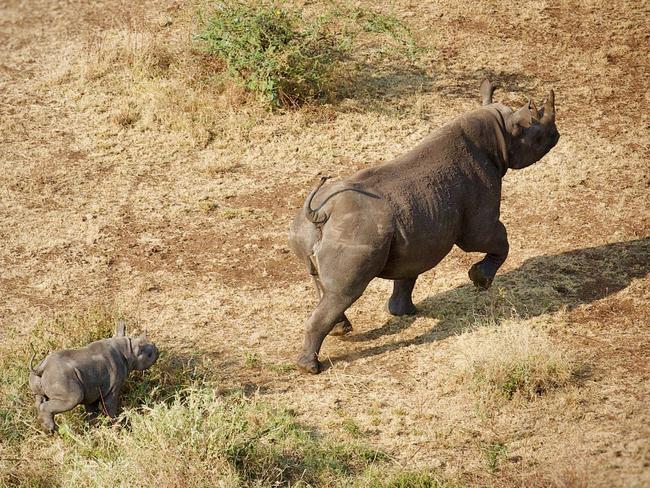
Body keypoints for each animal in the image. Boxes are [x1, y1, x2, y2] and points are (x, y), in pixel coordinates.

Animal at [28, 322, 158, 432]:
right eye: (149, 354)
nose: (158, 350)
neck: (127, 350)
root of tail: (42, 368)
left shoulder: (92, 388)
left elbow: (92, 411)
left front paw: (94, 427)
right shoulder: (112, 387)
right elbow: (110, 406)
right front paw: (115, 426)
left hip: (41, 377)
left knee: (39, 397)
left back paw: (45, 428)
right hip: (60, 377)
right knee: (74, 398)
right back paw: (52, 429)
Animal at [288, 79, 556, 374]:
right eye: (539, 133)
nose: (557, 135)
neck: (502, 133)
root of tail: (323, 211)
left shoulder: (416, 232)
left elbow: (408, 272)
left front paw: (404, 312)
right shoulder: (478, 219)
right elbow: (496, 239)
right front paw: (480, 280)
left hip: (311, 231)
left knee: (324, 283)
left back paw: (339, 332)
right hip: (353, 235)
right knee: (345, 291)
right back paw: (311, 368)